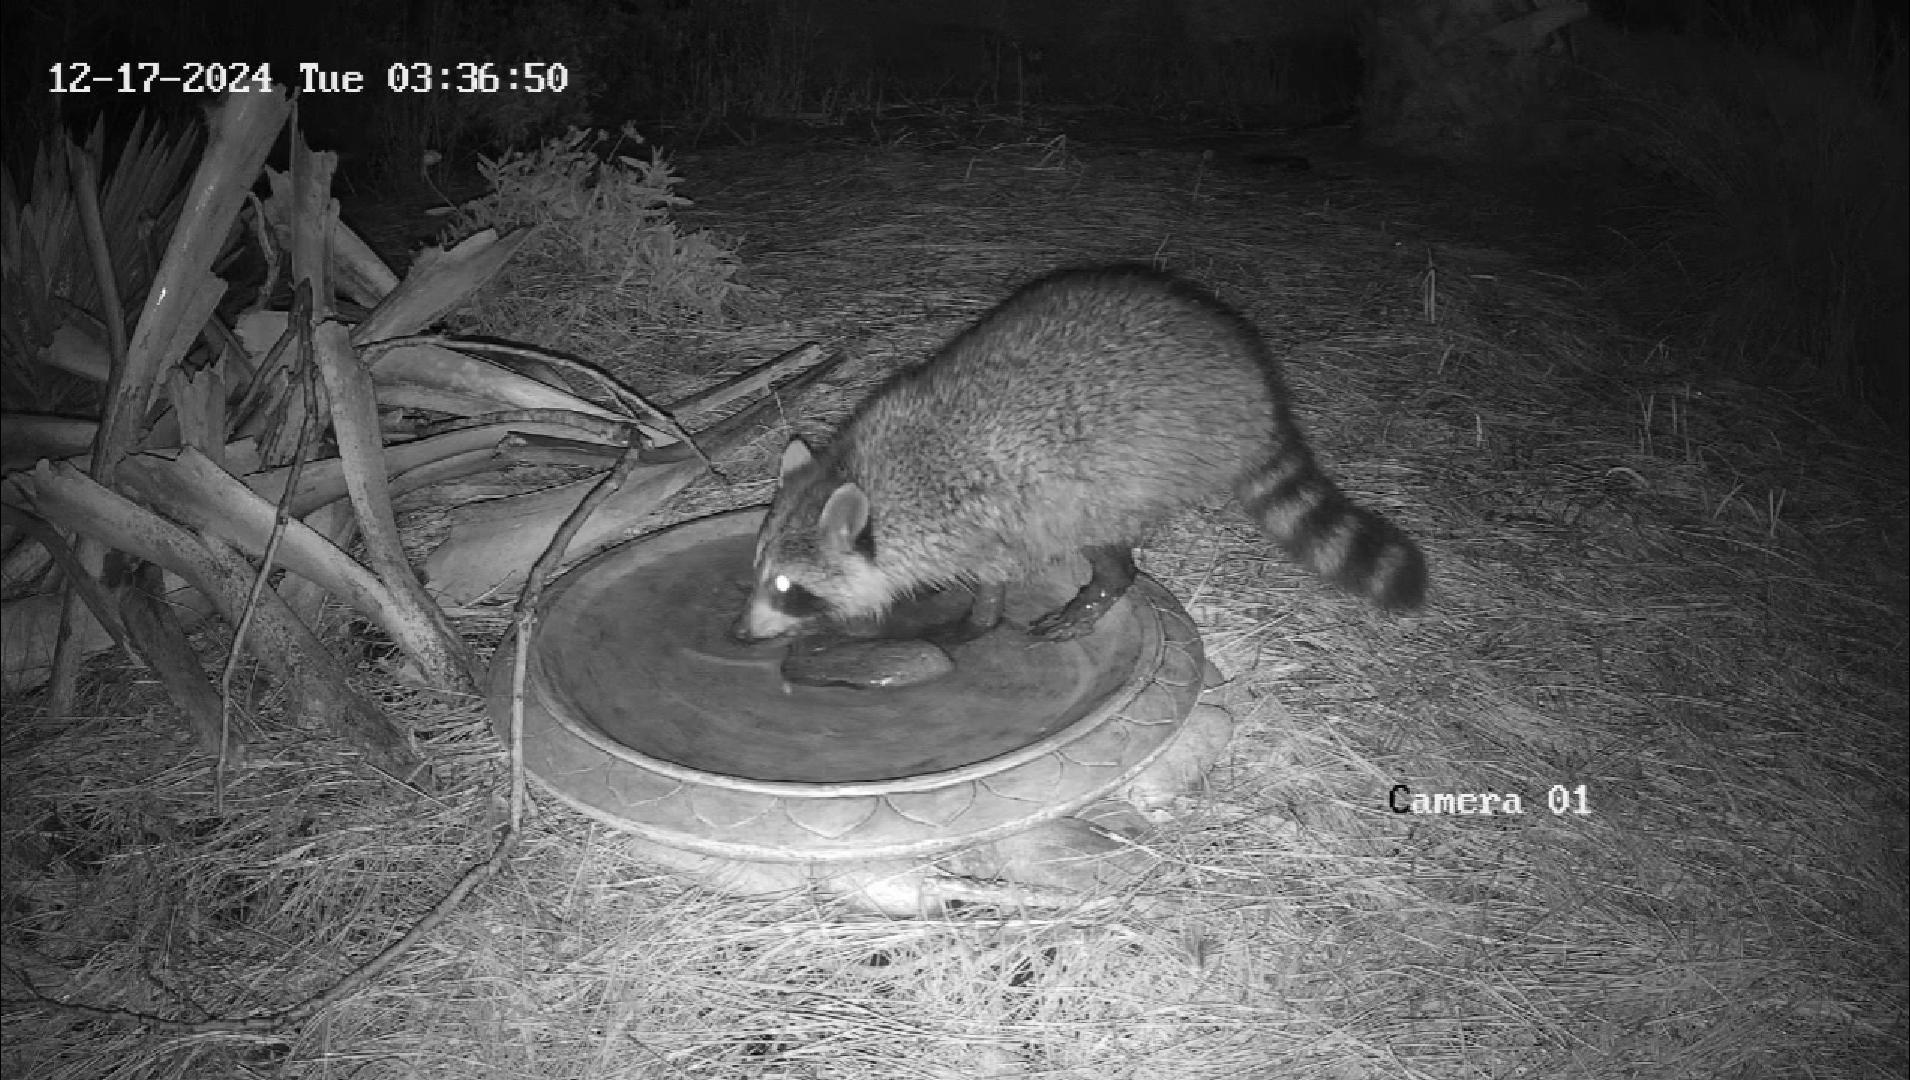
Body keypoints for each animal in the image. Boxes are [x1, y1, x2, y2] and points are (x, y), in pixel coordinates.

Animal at [735, 265, 1426, 643]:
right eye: (757, 572)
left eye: (788, 587)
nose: (739, 633)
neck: (865, 476)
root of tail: (1256, 388)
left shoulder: (980, 520)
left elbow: (993, 581)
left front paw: (976, 618)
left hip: (1121, 476)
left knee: (1102, 540)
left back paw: (1104, 585)